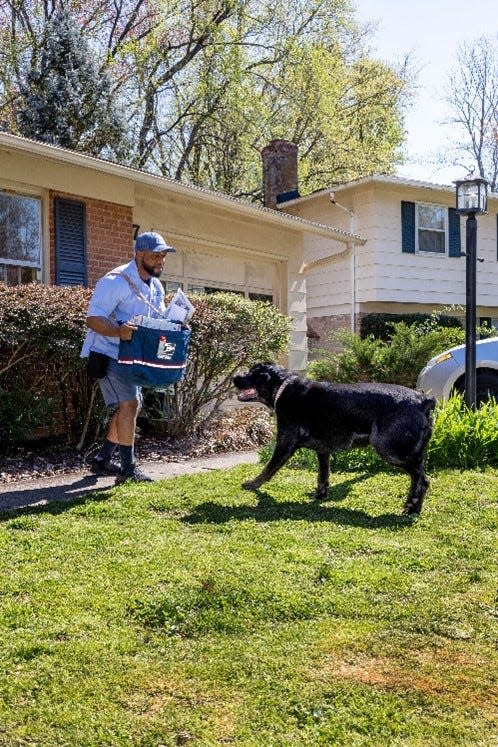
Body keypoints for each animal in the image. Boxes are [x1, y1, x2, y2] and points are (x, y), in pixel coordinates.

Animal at [233, 362, 436, 516]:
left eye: (251, 373)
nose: (234, 377)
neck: (283, 388)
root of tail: (423, 400)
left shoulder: (284, 444)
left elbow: (268, 469)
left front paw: (252, 484)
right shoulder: (323, 451)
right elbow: (323, 476)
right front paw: (320, 495)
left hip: (391, 451)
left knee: (423, 480)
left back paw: (413, 509)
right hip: (411, 454)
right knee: (416, 480)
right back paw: (411, 506)